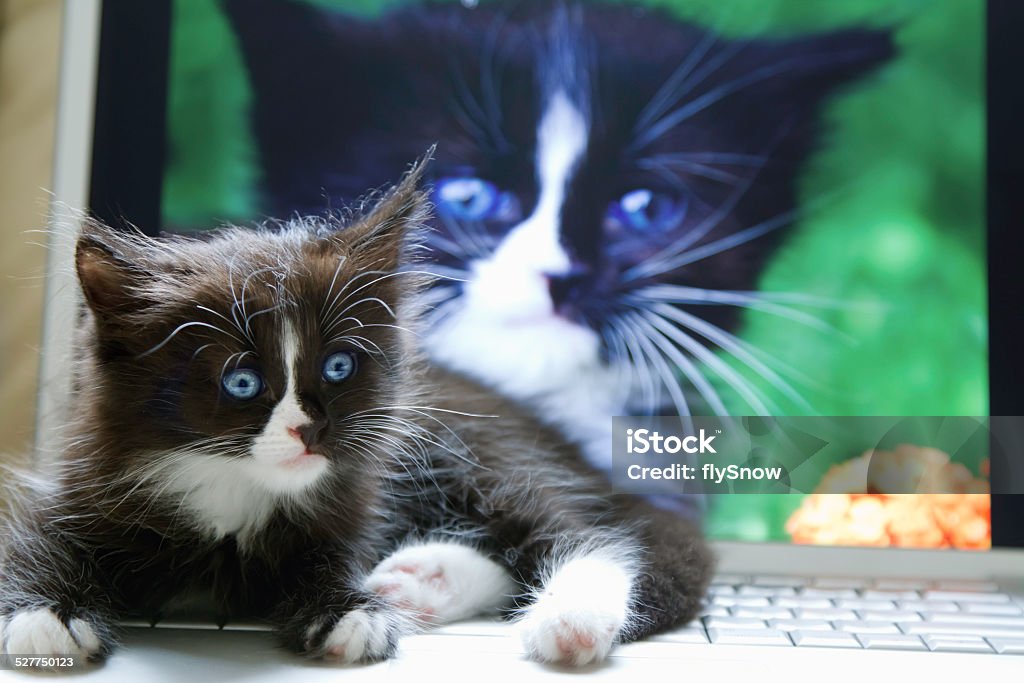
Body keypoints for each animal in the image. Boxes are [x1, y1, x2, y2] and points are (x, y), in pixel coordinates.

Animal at [0, 161, 712, 667]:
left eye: (338, 367)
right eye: (241, 380)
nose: (310, 427)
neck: (228, 485)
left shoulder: (353, 498)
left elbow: (336, 555)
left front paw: (347, 610)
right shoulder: (83, 478)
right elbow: (33, 539)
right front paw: (44, 618)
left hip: (480, 450)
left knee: (580, 530)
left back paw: (566, 621)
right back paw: (414, 583)